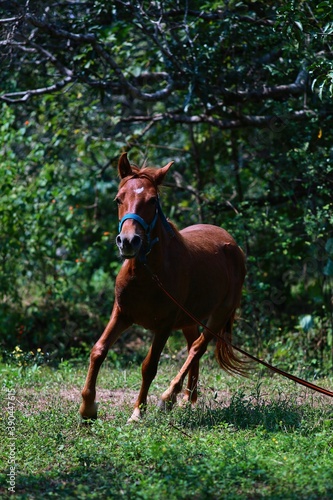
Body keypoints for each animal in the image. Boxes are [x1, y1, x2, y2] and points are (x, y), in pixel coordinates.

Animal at [80, 152, 246, 422]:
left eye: (152, 200)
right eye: (118, 199)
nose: (128, 241)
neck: (147, 274)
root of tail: (232, 244)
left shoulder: (164, 326)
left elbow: (149, 366)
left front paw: (138, 411)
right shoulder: (122, 314)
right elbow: (98, 351)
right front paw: (87, 407)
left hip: (219, 315)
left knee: (197, 348)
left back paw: (169, 396)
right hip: (189, 319)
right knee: (192, 347)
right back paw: (187, 399)